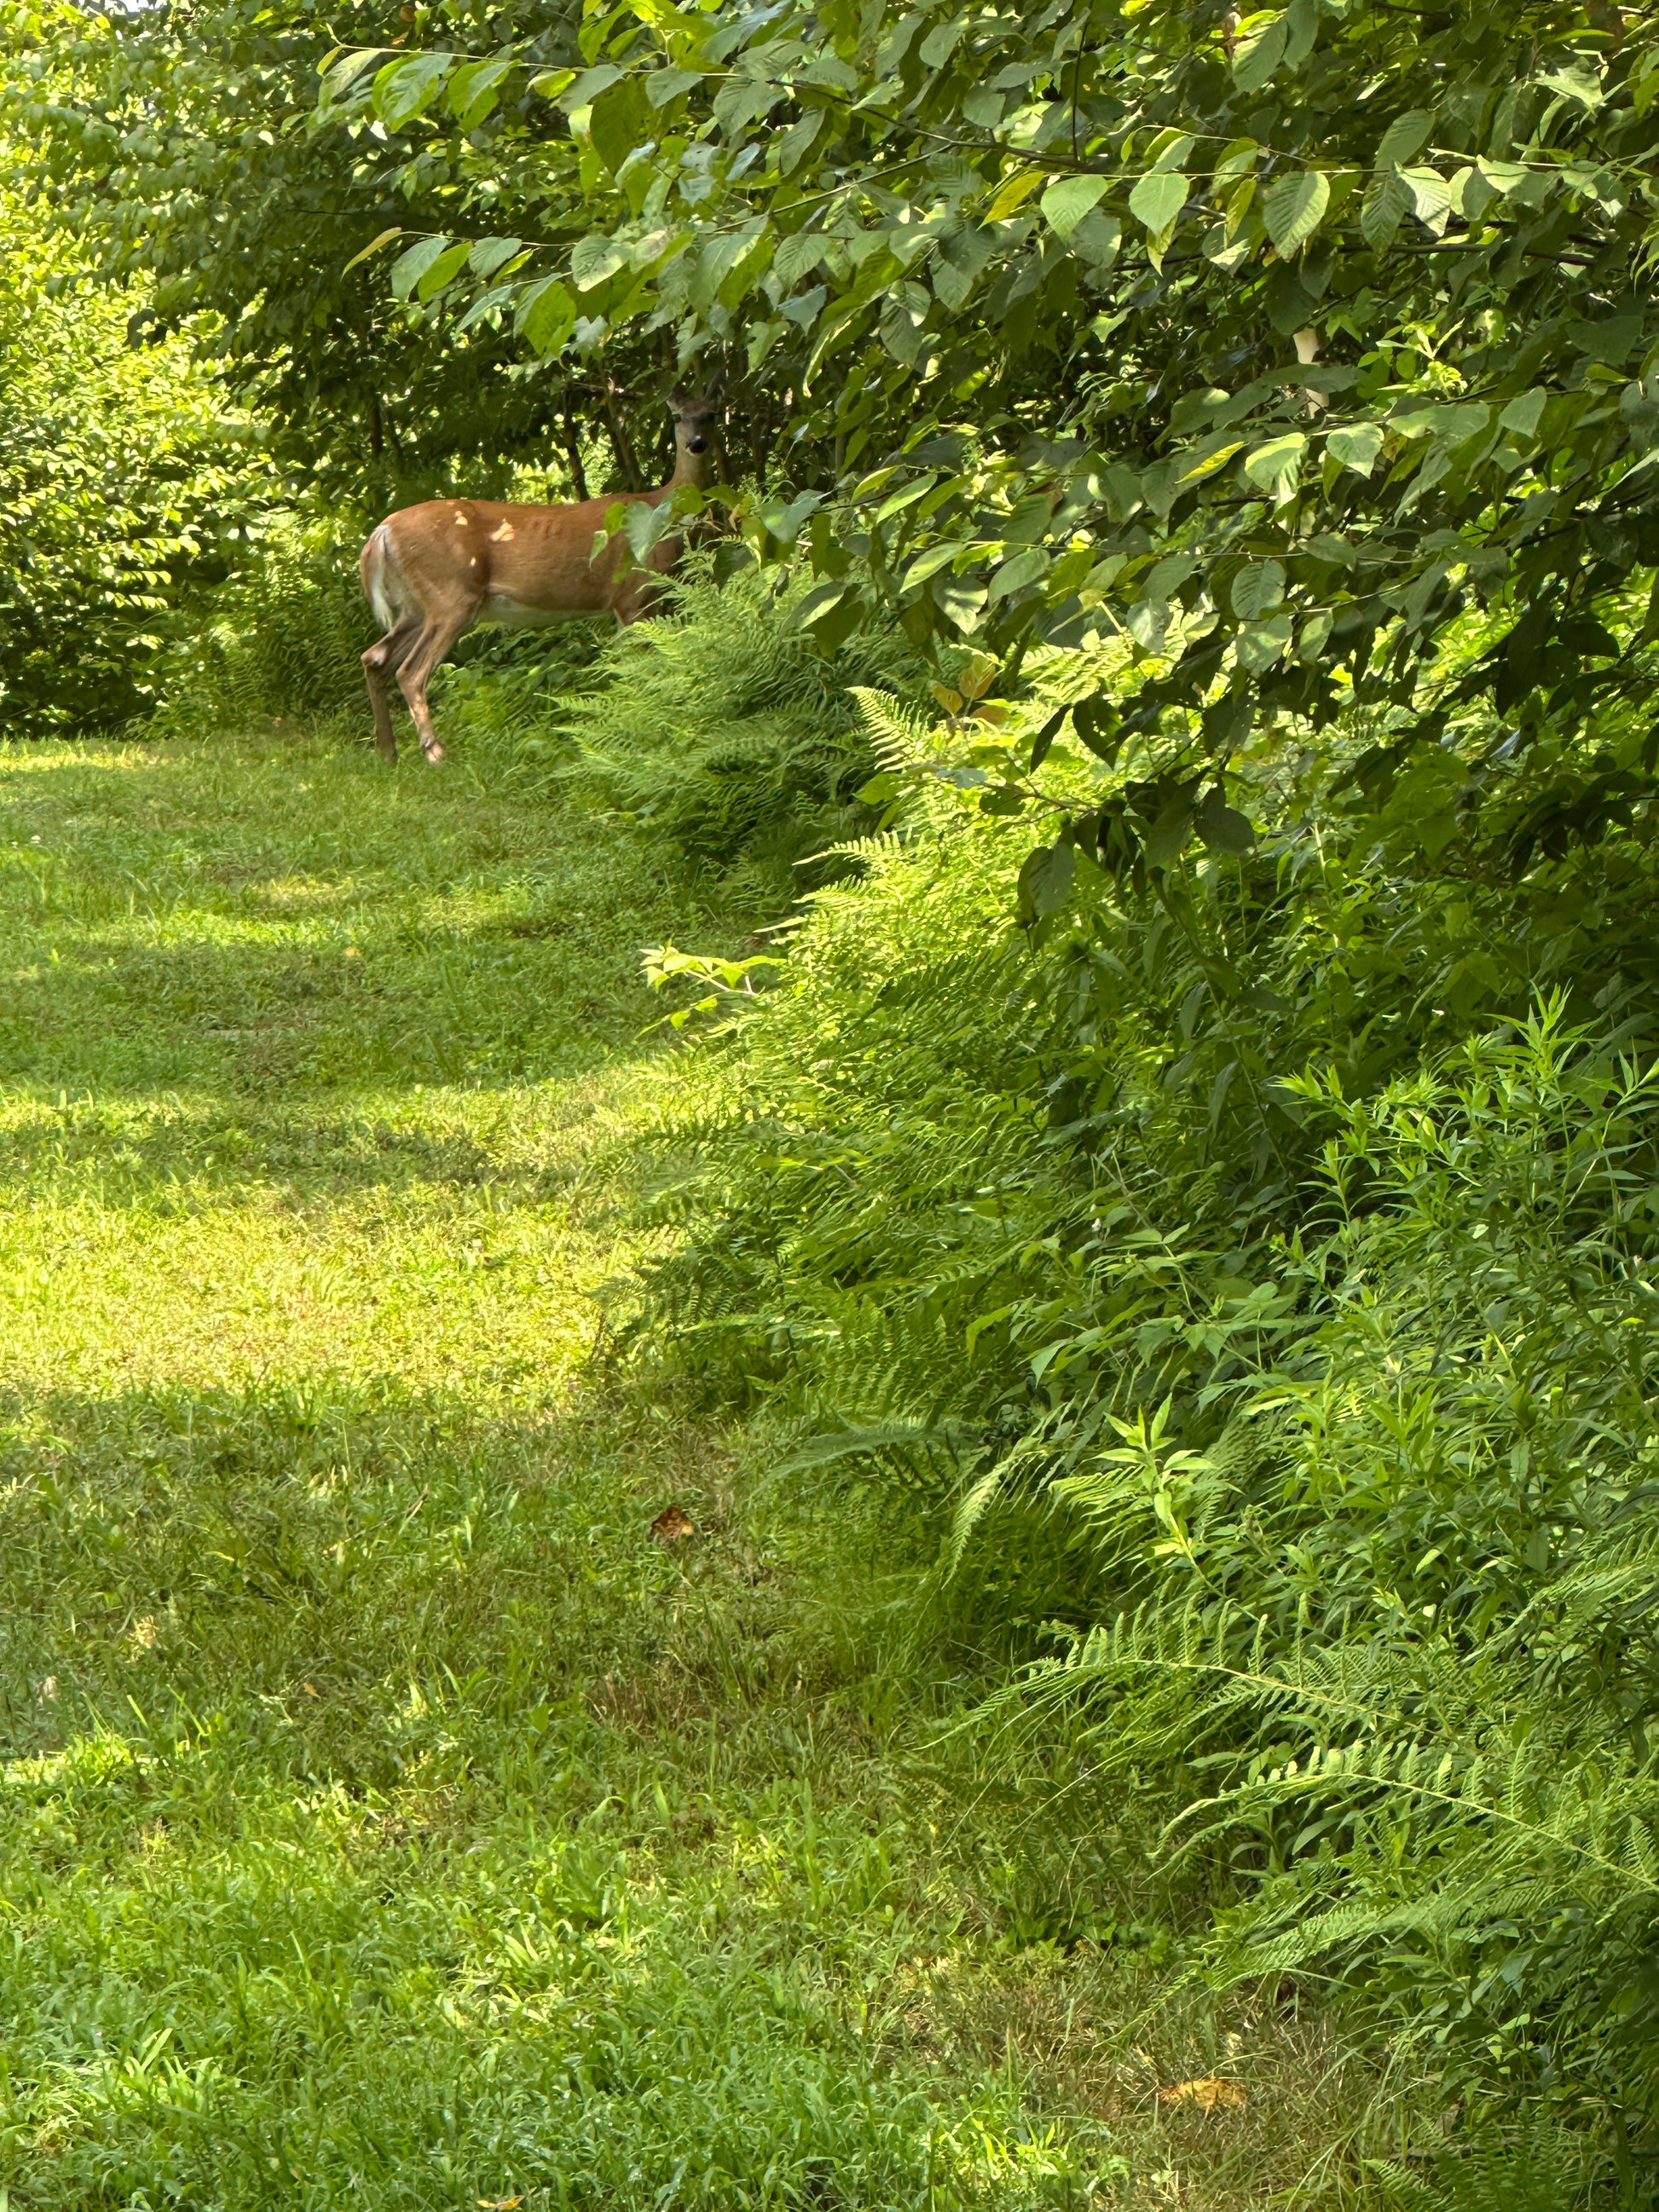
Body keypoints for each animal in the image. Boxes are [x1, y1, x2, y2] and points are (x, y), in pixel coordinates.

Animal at [358, 382, 722, 764]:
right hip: (450, 596)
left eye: (712, 414)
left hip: (417, 606)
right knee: (410, 672)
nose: (697, 443)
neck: (661, 510)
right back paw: (436, 755)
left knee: (375, 658)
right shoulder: (632, 595)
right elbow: (638, 663)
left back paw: (388, 753)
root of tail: (382, 532)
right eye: (677, 416)